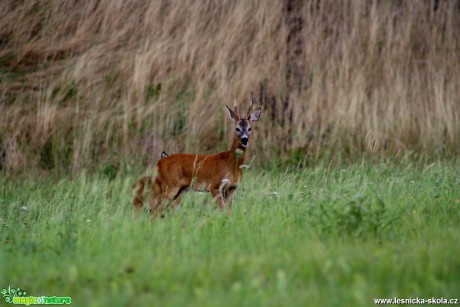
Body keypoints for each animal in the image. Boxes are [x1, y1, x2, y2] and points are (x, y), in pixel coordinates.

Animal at [133, 100, 262, 217]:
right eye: (237, 128)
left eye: (250, 128)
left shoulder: (231, 188)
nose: (244, 139)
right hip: (170, 186)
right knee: (154, 212)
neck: (231, 163)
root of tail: (159, 162)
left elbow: (230, 213)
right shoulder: (214, 186)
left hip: (177, 190)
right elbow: (224, 212)